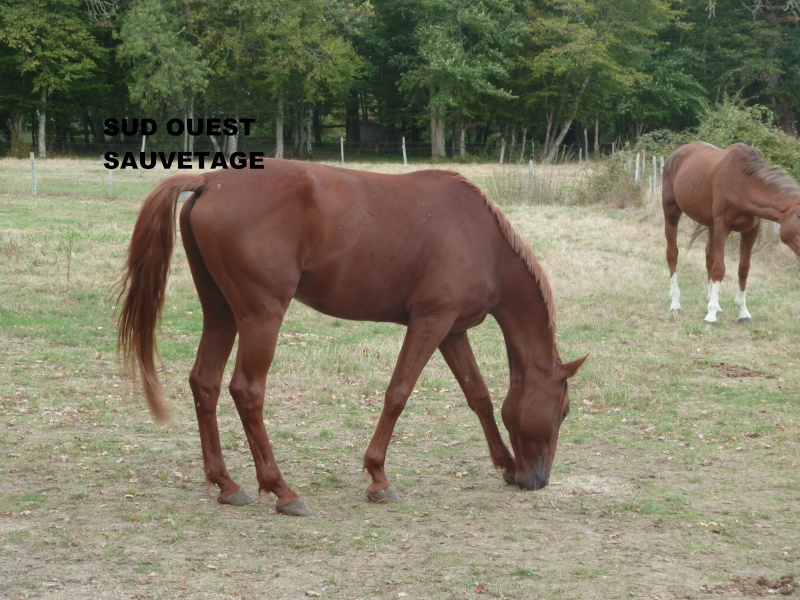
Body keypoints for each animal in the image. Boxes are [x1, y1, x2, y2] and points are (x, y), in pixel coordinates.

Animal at [115, 161, 584, 516]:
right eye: (562, 412)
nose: (537, 479)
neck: (482, 241)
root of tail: (210, 181)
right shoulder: (431, 322)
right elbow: (398, 393)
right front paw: (378, 477)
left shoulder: (453, 330)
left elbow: (479, 396)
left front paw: (504, 463)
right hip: (261, 315)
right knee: (246, 391)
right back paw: (282, 490)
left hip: (221, 313)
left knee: (205, 384)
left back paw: (226, 483)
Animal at [664, 143, 800, 324]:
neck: (743, 184)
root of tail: (675, 154)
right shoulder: (722, 227)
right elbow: (720, 268)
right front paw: (711, 314)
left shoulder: (750, 231)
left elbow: (743, 268)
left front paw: (742, 311)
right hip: (671, 213)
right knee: (672, 254)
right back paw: (675, 303)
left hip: (711, 224)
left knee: (709, 257)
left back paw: (711, 300)